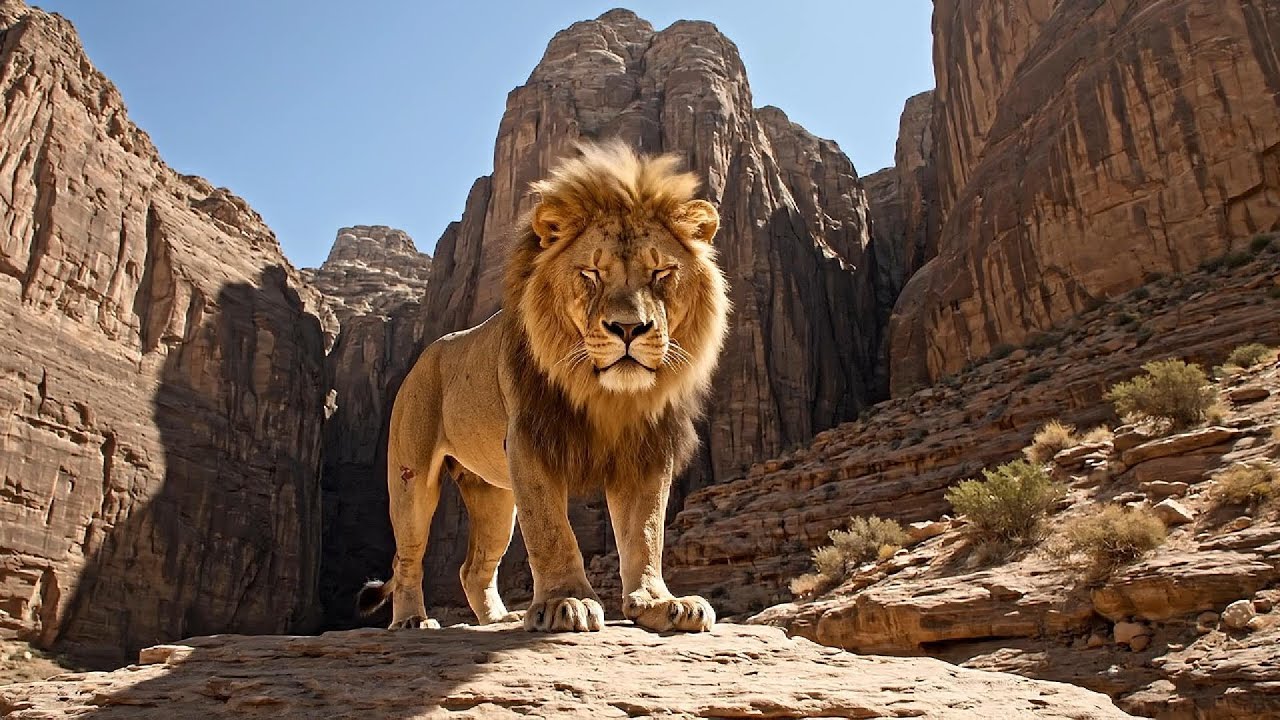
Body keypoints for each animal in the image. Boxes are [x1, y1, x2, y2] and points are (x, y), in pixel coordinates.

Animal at [356, 141, 730, 633]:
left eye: (661, 273)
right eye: (591, 274)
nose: (629, 328)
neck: (605, 394)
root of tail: (426, 354)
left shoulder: (646, 448)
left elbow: (645, 533)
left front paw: (658, 602)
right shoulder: (530, 441)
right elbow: (552, 530)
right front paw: (564, 602)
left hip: (492, 495)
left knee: (472, 568)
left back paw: (498, 619)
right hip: (411, 478)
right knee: (407, 560)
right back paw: (412, 621)